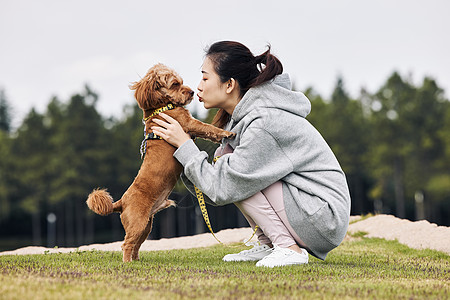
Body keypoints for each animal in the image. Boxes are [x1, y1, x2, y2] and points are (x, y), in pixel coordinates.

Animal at [86, 63, 234, 262]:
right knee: (127, 244)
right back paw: (127, 263)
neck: (161, 108)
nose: (192, 92)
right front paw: (226, 133)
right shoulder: (187, 124)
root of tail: (120, 203)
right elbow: (207, 127)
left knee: (136, 245)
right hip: (138, 223)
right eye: (174, 84)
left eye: (181, 81)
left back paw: (136, 262)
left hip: (147, 226)